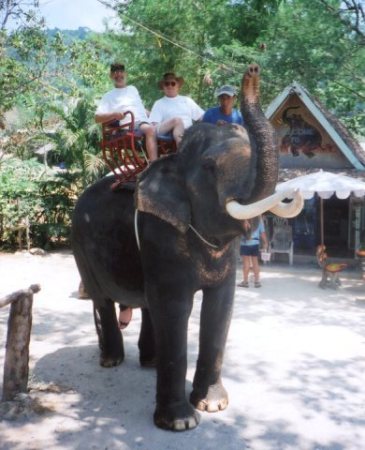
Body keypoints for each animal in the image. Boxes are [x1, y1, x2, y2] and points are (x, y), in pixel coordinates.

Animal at [72, 64, 302, 432]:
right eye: (209, 167)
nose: (252, 71)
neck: (173, 162)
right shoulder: (160, 231)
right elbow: (175, 307)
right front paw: (181, 422)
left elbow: (220, 307)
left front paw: (213, 405)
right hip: (79, 243)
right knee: (102, 300)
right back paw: (111, 361)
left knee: (146, 304)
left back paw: (149, 361)